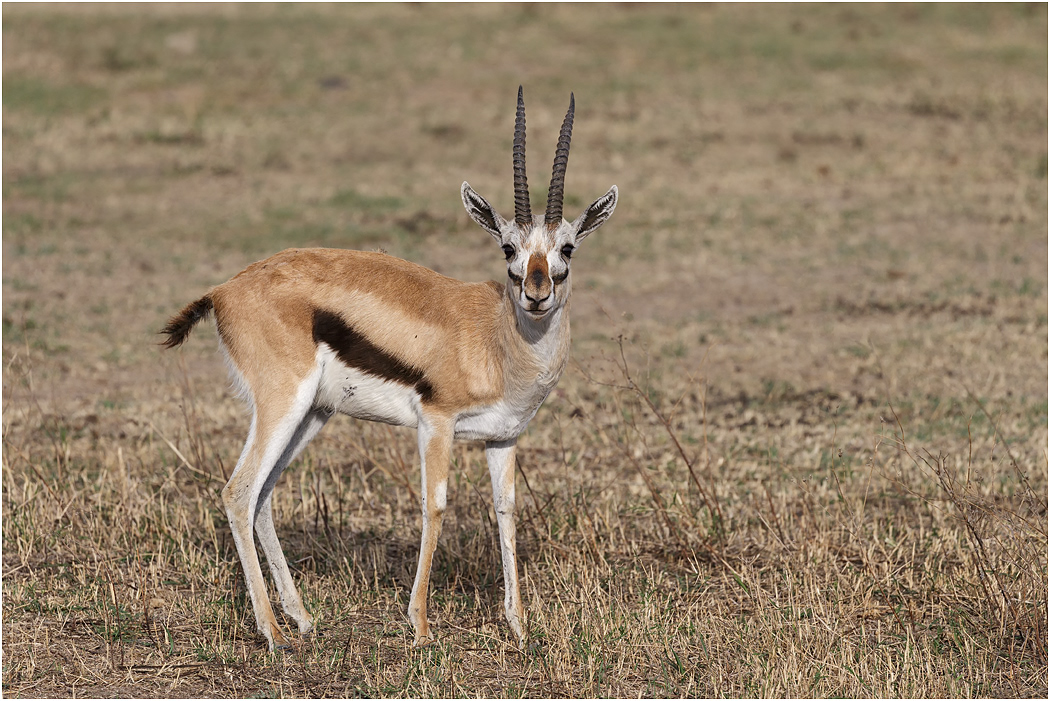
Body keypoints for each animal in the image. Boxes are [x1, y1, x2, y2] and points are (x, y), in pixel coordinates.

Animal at [160, 87, 617, 652]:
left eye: (567, 248)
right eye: (508, 247)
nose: (536, 293)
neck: (498, 339)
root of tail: (224, 290)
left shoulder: (503, 437)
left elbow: (506, 511)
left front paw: (518, 625)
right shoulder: (437, 423)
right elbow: (435, 505)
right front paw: (419, 626)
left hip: (312, 414)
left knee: (263, 494)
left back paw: (301, 618)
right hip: (283, 404)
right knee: (239, 491)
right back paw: (273, 632)